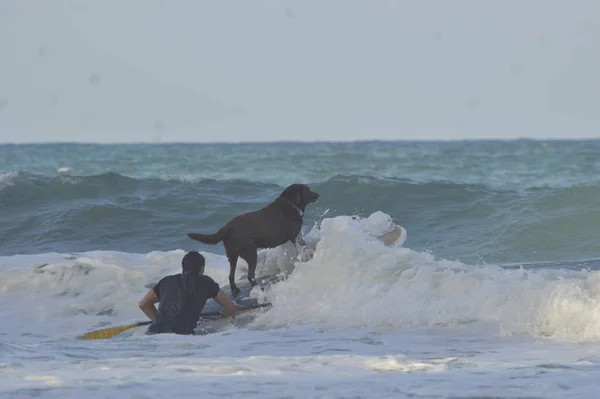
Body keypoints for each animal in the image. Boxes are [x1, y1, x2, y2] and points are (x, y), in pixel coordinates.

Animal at [186, 186, 318, 296]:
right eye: (307, 189)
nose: (318, 194)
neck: (290, 204)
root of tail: (227, 228)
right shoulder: (293, 237)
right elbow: (300, 250)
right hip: (251, 254)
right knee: (250, 276)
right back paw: (259, 288)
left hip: (232, 256)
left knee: (231, 275)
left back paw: (235, 290)